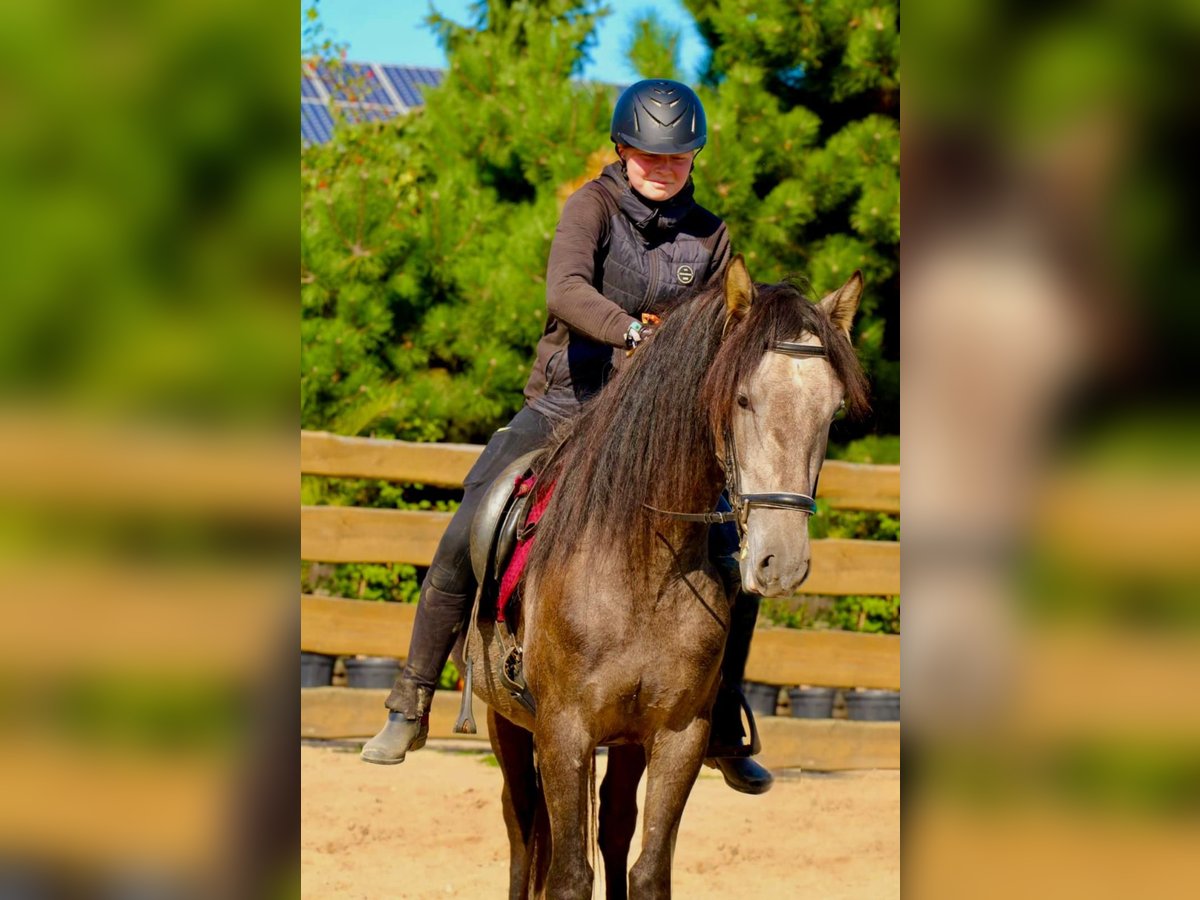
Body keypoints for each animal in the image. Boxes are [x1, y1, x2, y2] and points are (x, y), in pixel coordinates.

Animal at [462, 255, 868, 899]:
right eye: (743, 399)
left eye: (832, 412)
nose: (780, 561)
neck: (641, 570)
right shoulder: (563, 731)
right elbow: (568, 876)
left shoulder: (678, 735)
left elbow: (648, 870)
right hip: (510, 725)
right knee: (524, 835)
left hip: (627, 743)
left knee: (614, 826)